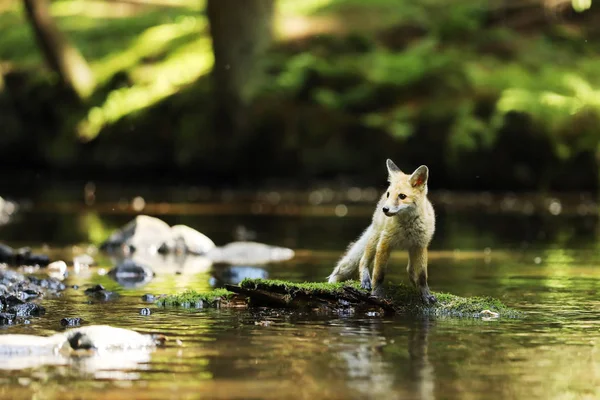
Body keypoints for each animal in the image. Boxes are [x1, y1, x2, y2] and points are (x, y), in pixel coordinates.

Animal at [328, 159, 436, 304]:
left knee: (410, 270)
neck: (407, 228)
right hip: (375, 238)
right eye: (389, 194)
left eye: (402, 196)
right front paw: (377, 293)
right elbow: (378, 275)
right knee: (363, 260)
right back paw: (365, 279)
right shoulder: (384, 243)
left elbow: (422, 277)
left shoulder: (420, 246)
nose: (385, 209)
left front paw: (425, 294)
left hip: (411, 250)